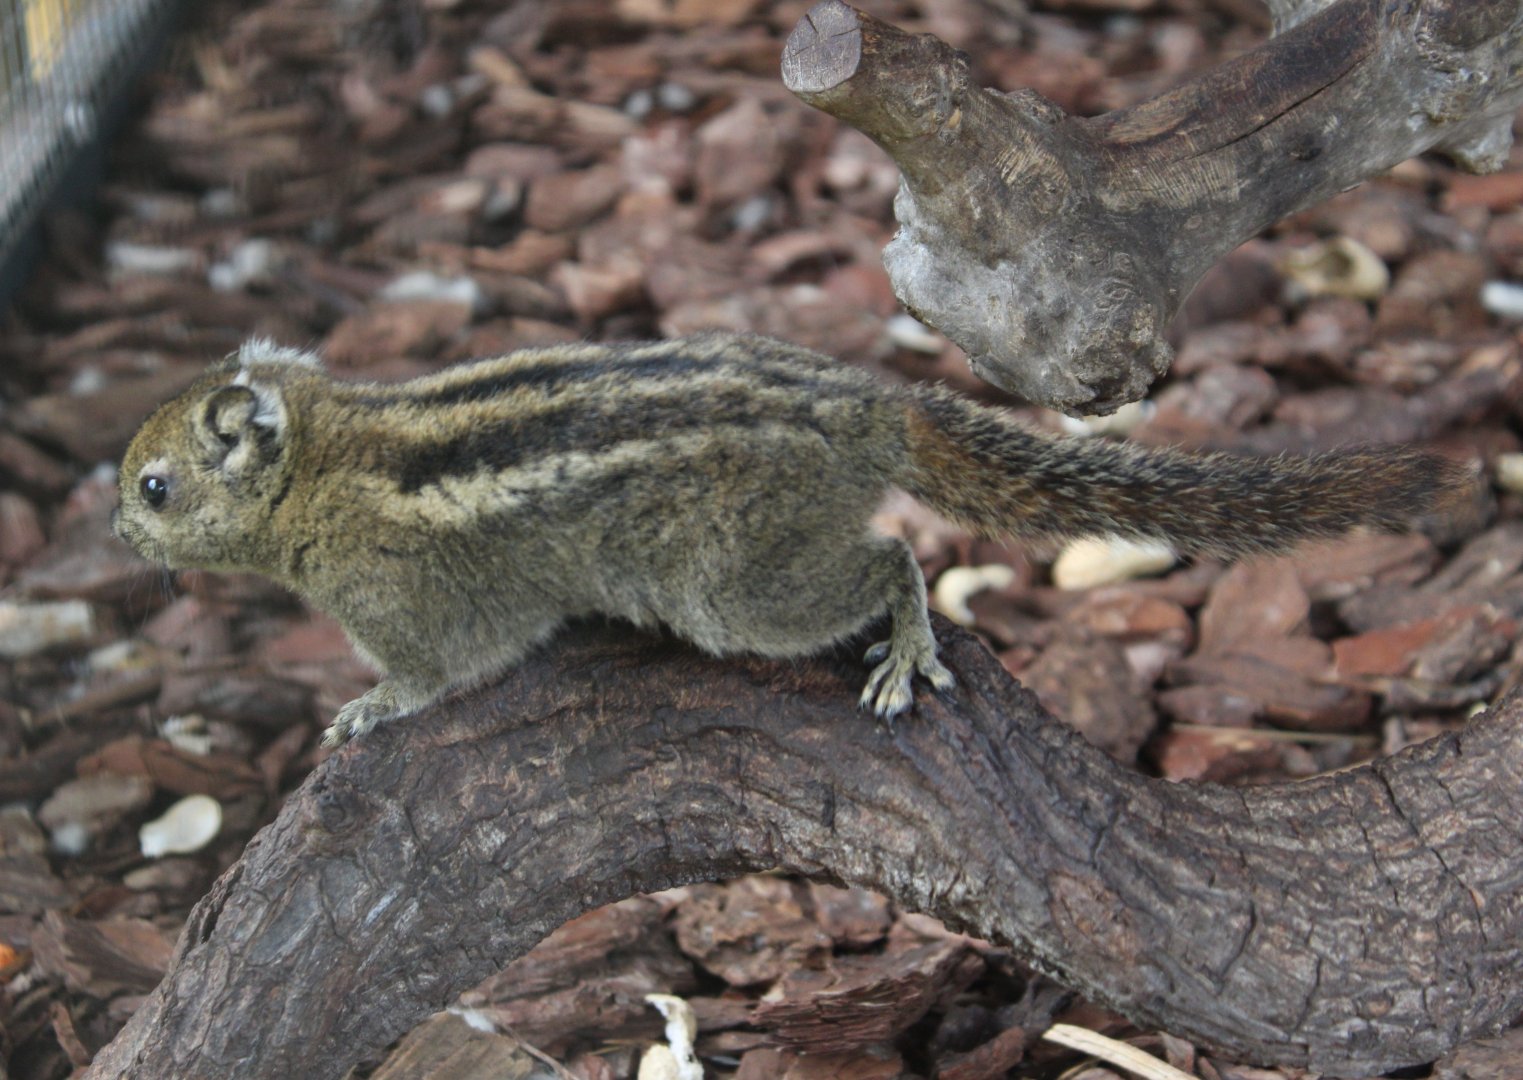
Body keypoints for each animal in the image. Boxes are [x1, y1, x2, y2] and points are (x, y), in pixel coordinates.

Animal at [115, 332, 1466, 746]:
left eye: (155, 488)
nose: (118, 536)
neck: (323, 461)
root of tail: (870, 412)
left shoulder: (413, 609)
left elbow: (435, 673)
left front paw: (363, 710)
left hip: (740, 591)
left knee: (889, 559)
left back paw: (906, 646)